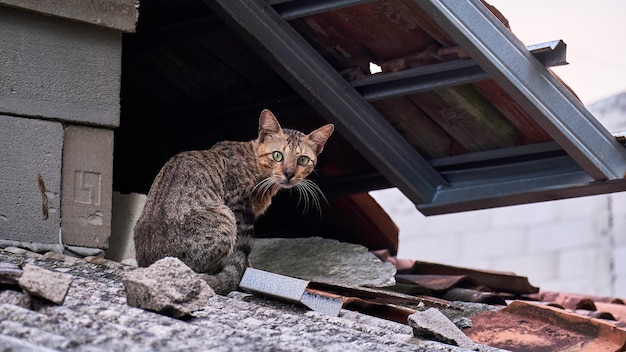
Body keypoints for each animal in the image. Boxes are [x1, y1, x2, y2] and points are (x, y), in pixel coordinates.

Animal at [135, 109, 334, 294]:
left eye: (303, 160)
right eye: (277, 156)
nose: (289, 173)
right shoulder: (239, 208)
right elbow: (242, 254)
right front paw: (245, 273)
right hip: (225, 216)